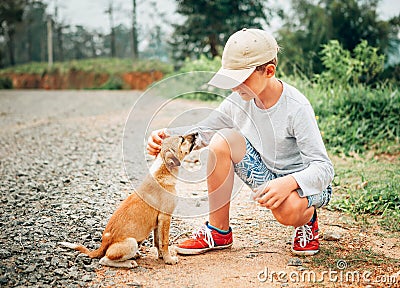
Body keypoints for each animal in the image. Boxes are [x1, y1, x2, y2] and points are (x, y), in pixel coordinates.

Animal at [59, 134, 197, 268]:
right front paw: (169, 259)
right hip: (131, 242)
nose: (196, 134)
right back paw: (129, 263)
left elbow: (157, 242)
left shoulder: (158, 222)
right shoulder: (165, 217)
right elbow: (165, 242)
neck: (162, 172)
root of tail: (103, 244)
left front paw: (162, 257)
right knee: (104, 260)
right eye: (182, 139)